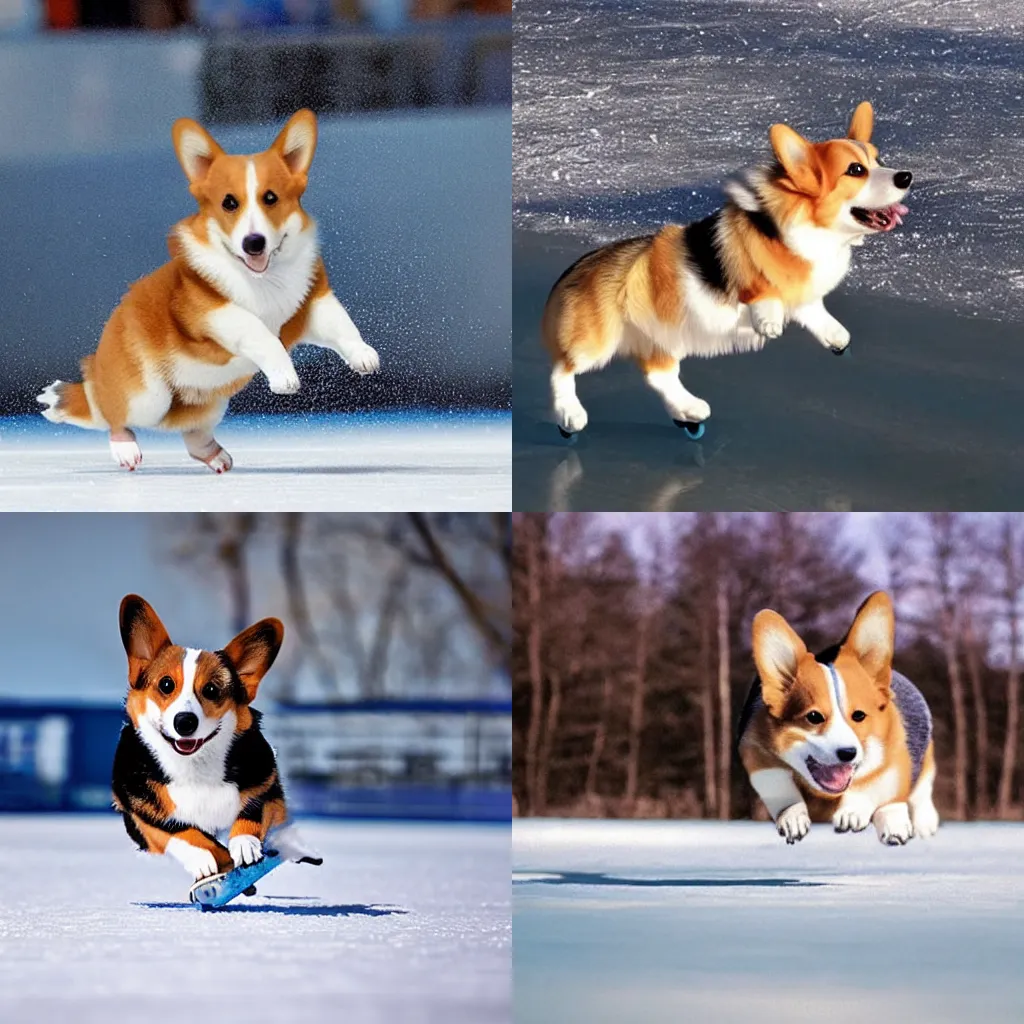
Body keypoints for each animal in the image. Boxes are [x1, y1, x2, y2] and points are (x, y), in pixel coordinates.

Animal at [36, 111, 382, 471]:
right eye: (229, 203)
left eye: (270, 198)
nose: (254, 242)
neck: (263, 279)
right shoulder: (215, 313)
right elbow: (258, 332)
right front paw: (285, 376)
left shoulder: (312, 304)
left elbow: (341, 324)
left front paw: (363, 355)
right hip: (147, 396)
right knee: (109, 411)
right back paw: (124, 448)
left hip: (211, 402)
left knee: (192, 435)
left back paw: (215, 456)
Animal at [111, 593, 321, 880]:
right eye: (166, 684)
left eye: (211, 690)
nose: (185, 722)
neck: (195, 769)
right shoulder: (141, 816)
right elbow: (177, 832)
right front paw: (203, 859)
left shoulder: (268, 789)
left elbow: (254, 809)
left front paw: (244, 842)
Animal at [544, 103, 913, 436]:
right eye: (855, 170)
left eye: (879, 162)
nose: (906, 176)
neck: (814, 230)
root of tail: (574, 271)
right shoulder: (754, 281)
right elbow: (763, 293)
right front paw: (769, 323)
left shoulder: (805, 298)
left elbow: (815, 312)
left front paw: (836, 338)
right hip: (597, 342)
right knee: (562, 370)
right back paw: (569, 416)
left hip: (662, 339)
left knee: (659, 375)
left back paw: (689, 411)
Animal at [737, 593, 937, 847]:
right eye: (814, 717)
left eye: (859, 715)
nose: (848, 753)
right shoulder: (756, 753)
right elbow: (781, 786)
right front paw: (793, 817)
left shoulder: (893, 760)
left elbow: (873, 784)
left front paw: (853, 812)